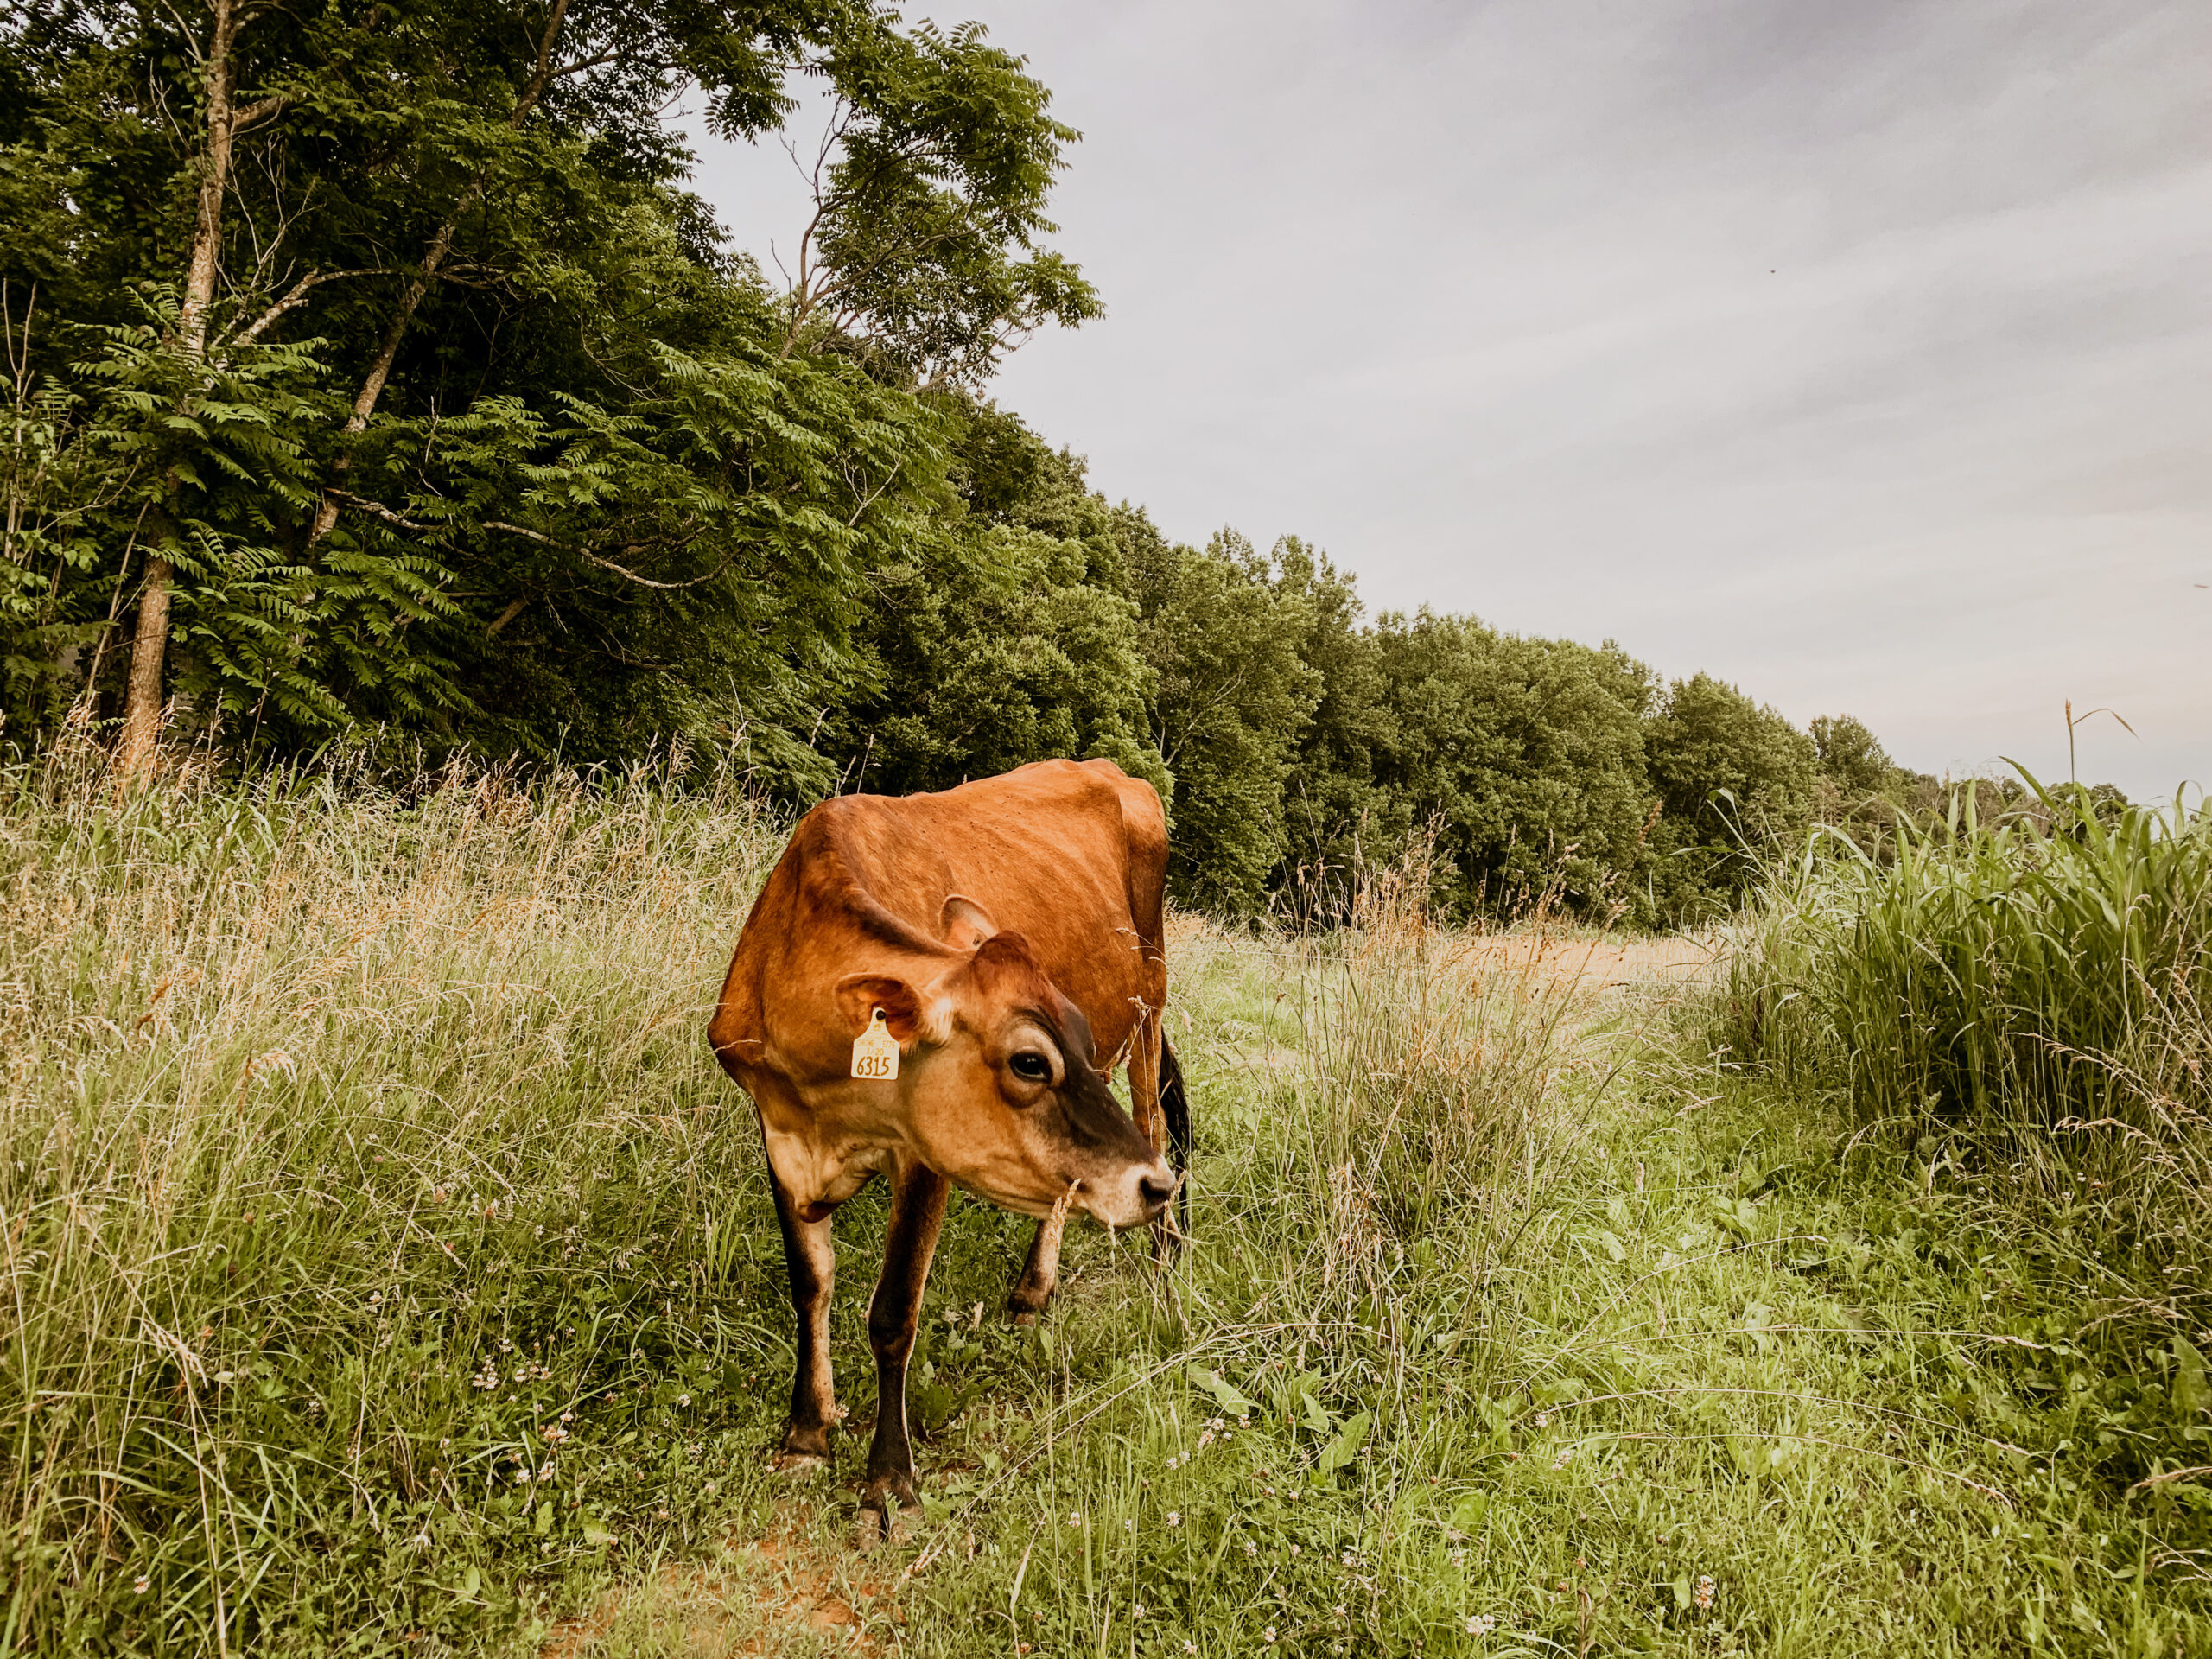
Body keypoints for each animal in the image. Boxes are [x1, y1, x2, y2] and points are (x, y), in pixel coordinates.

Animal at [707, 758, 1192, 1532]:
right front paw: (807, 1432)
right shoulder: (778, 1130)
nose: (1148, 1186)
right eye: (1029, 1061)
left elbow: (892, 1312)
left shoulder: (925, 1155)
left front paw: (888, 1479)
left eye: (1077, 1038)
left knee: (1149, 1118)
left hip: (1151, 1000)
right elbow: (810, 1284)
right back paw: (1033, 1289)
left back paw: (1165, 1250)